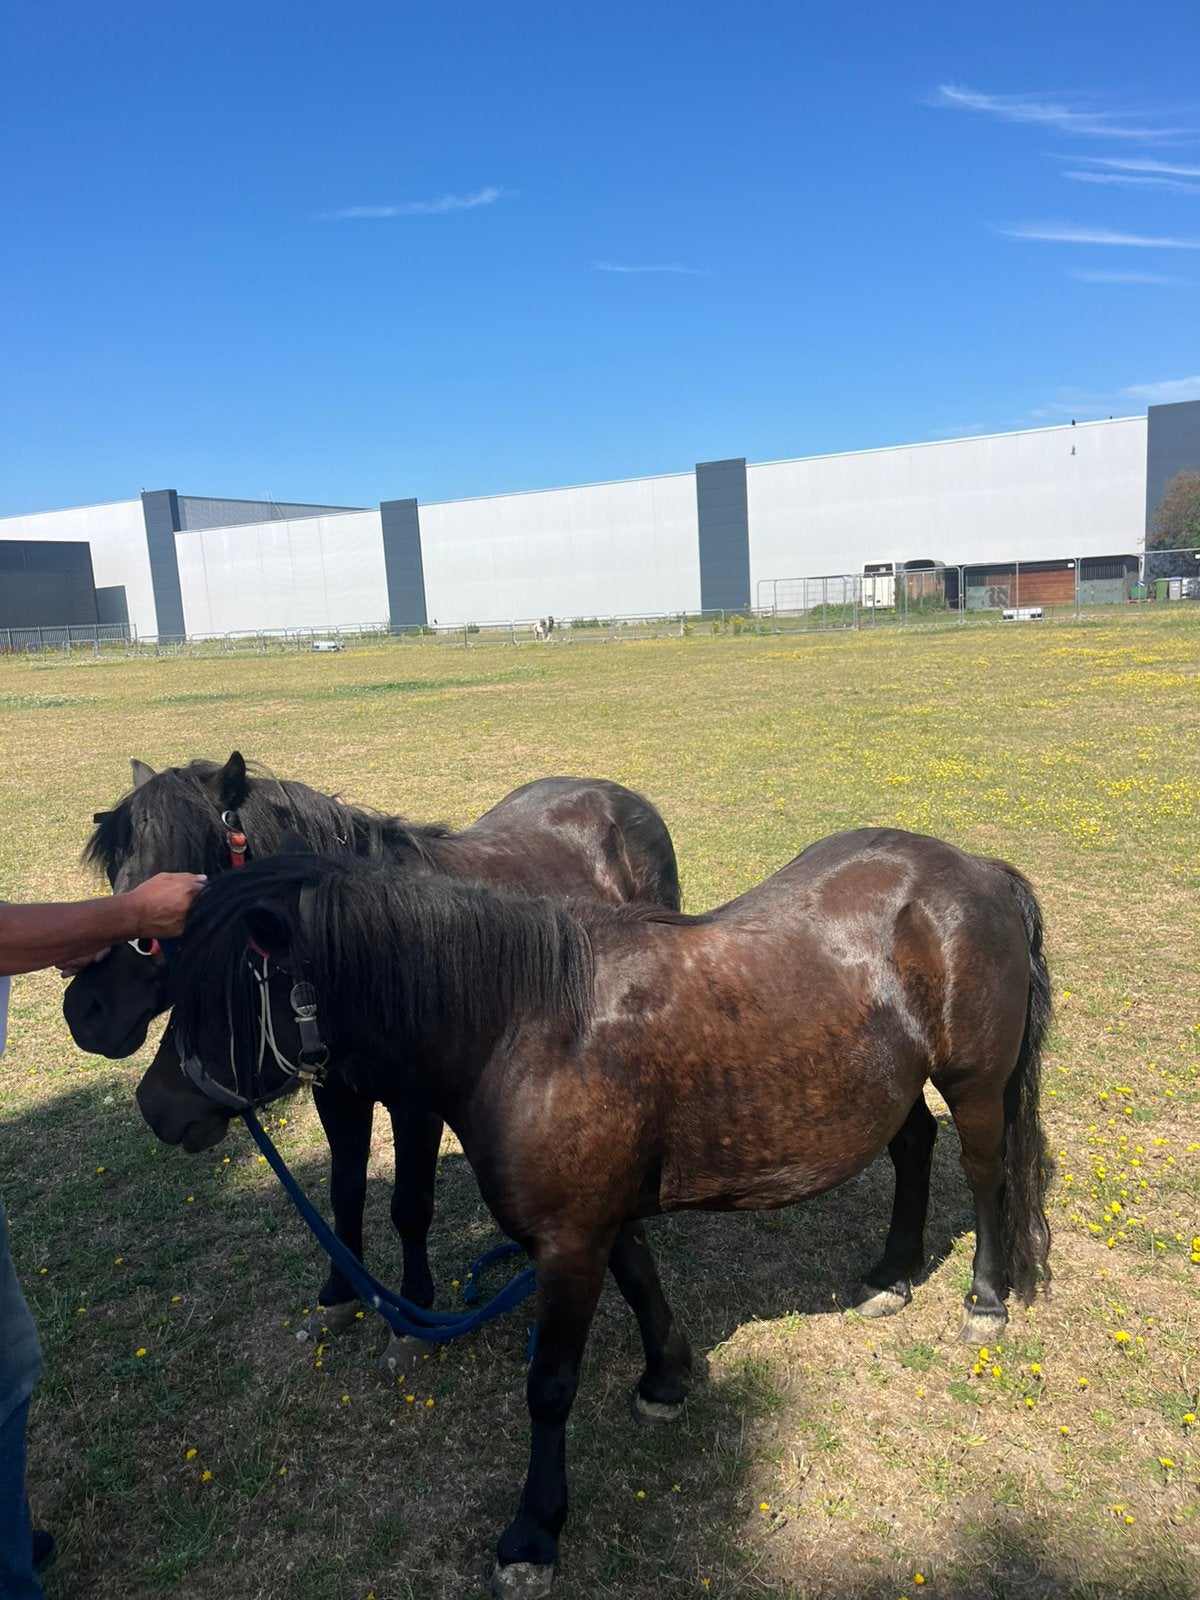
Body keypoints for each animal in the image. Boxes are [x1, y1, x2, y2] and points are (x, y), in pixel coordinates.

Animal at [66, 752, 680, 1343]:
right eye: (117, 880)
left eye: (178, 900)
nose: (85, 1011)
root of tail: (620, 796)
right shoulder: (337, 1094)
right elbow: (346, 1192)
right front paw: (342, 1295)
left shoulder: (417, 1107)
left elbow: (409, 1205)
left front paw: (413, 1319)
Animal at [147, 828, 1052, 1597]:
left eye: (225, 992)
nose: (158, 1109)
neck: (529, 1027)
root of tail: (977, 869)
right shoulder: (598, 1218)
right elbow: (643, 1280)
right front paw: (667, 1380)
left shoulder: (568, 1241)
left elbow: (550, 1385)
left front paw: (532, 1536)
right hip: (892, 1085)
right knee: (913, 1149)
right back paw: (892, 1275)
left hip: (975, 1083)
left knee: (982, 1174)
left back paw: (984, 1299)